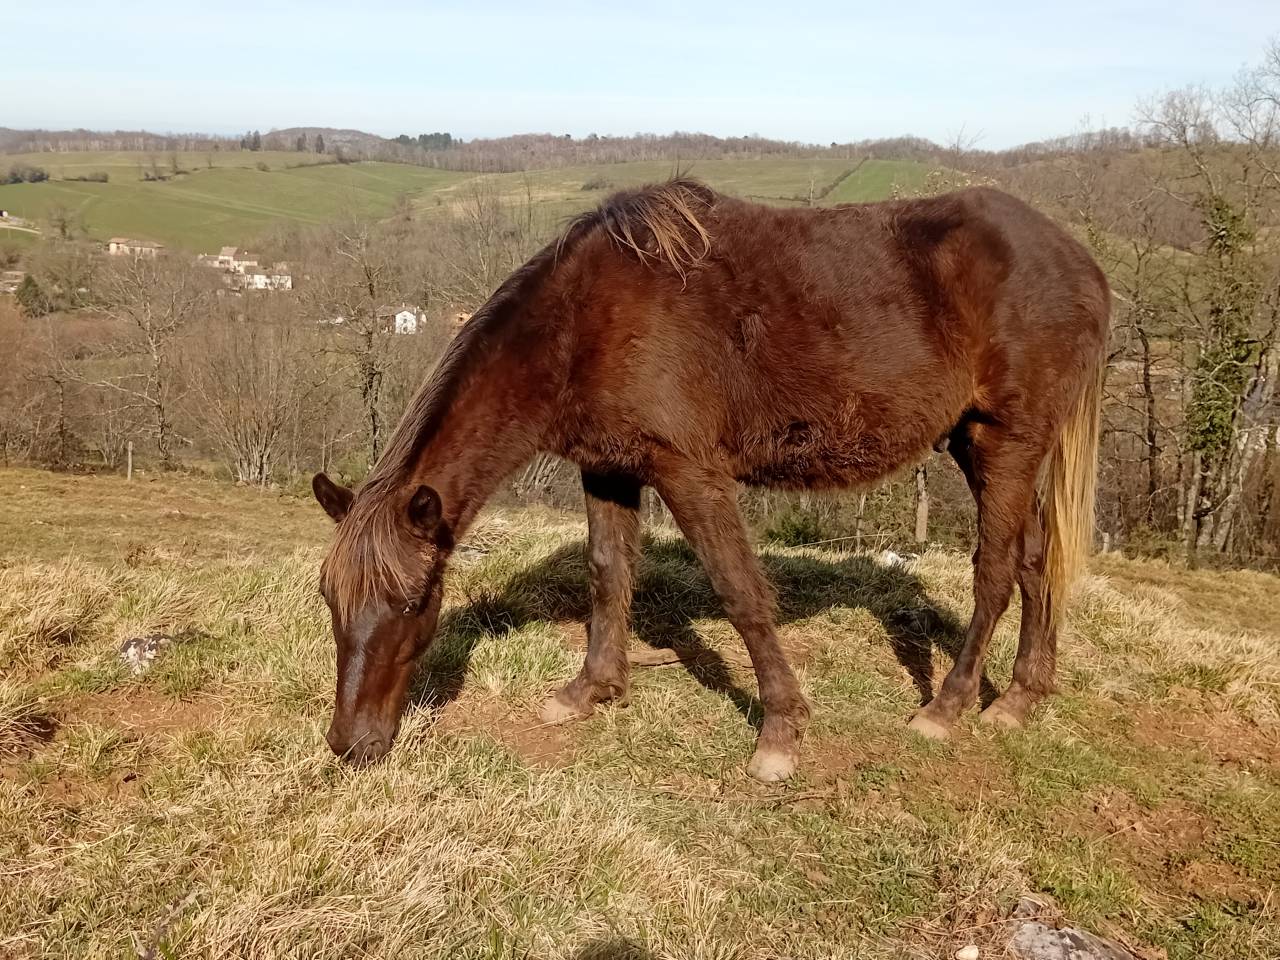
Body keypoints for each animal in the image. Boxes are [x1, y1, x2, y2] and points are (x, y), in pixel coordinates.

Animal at [311, 177, 1109, 781]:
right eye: (330, 600)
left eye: (414, 601)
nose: (351, 744)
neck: (582, 321)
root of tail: (1080, 263)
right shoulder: (609, 469)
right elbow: (608, 574)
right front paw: (591, 690)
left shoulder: (688, 470)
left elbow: (739, 591)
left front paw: (781, 731)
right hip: (978, 445)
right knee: (1036, 562)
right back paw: (1021, 698)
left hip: (1005, 442)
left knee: (996, 571)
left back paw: (947, 707)